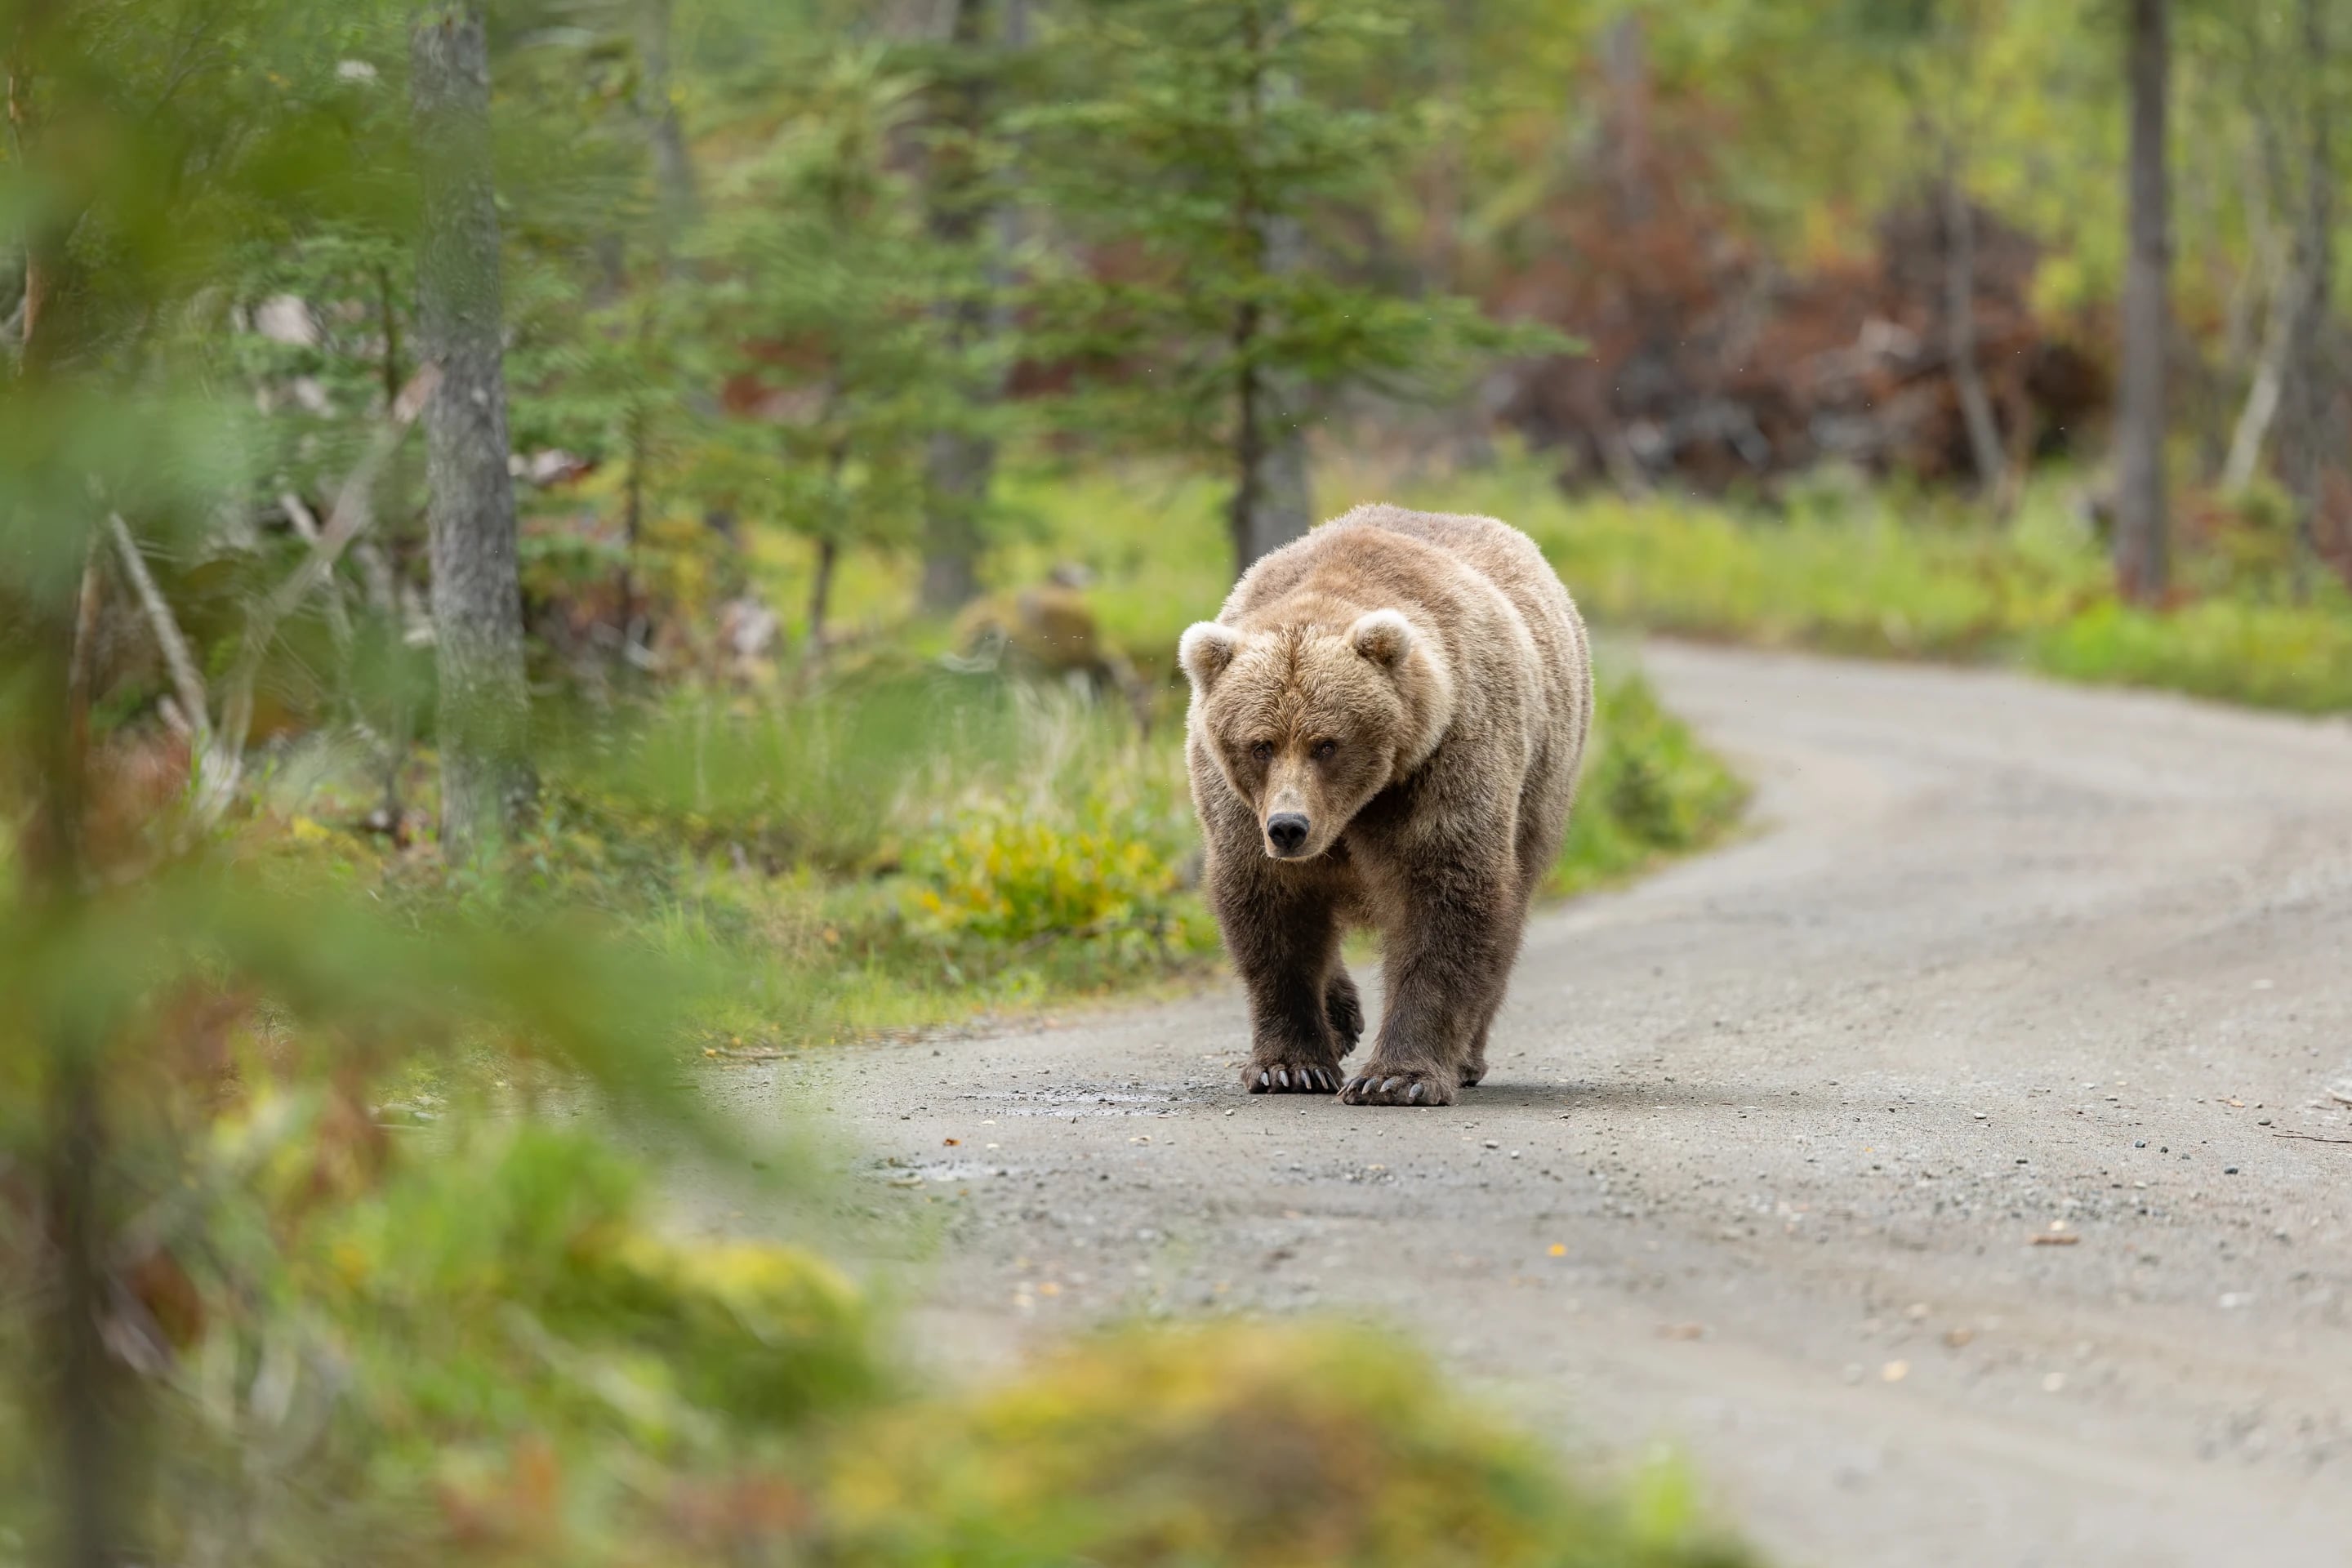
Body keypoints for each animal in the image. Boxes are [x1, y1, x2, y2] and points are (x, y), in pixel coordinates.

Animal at [1178, 504, 1592, 1107]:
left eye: (1327, 744)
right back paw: (1344, 1016)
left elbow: (1443, 899)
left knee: (1508, 908)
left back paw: (1465, 1056)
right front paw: (1292, 1066)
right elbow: (1270, 912)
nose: (1288, 827)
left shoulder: (1443, 762)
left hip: (1539, 784)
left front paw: (1397, 1078)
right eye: (1260, 744)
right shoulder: (1237, 806)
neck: (1357, 808)